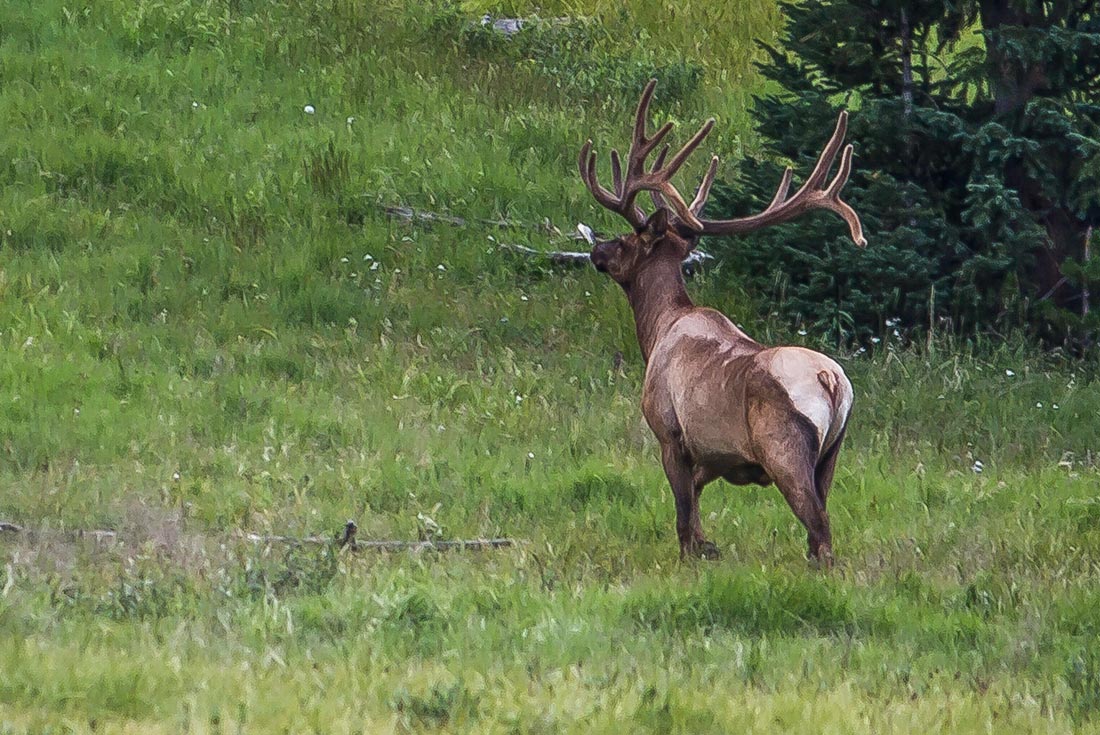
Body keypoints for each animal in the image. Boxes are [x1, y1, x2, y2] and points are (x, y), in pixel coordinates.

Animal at [580, 80, 862, 563]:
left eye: (627, 239)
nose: (597, 249)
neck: (657, 330)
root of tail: (831, 381)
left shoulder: (670, 432)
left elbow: (682, 514)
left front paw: (688, 557)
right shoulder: (714, 455)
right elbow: (695, 505)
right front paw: (709, 545)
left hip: (785, 448)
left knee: (820, 529)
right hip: (833, 452)